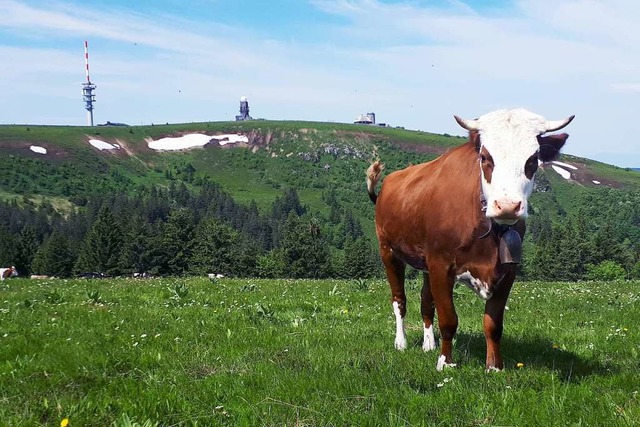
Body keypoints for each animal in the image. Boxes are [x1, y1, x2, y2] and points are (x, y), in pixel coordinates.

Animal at [364, 108, 576, 372]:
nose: (507, 206)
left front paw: (494, 367)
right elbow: (448, 319)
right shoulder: (441, 264)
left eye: (533, 160)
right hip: (389, 252)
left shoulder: (508, 271)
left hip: (424, 263)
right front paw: (446, 362)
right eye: (485, 158)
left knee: (426, 302)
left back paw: (428, 344)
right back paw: (401, 342)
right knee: (399, 300)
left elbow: (493, 324)